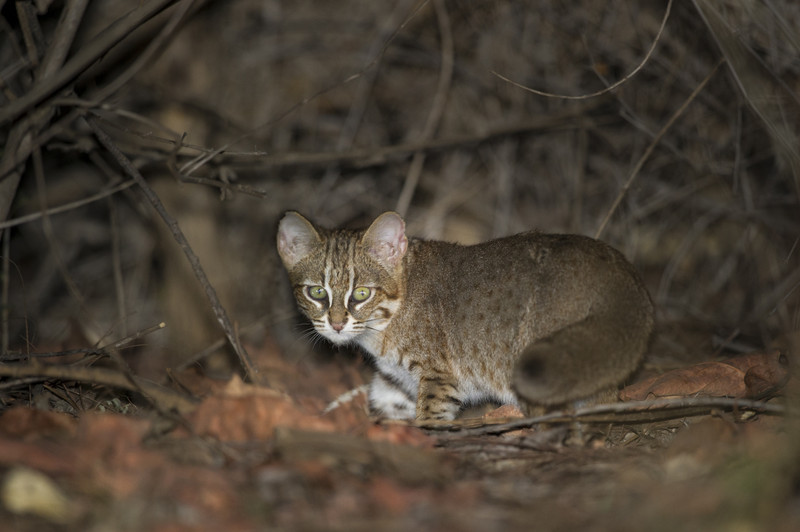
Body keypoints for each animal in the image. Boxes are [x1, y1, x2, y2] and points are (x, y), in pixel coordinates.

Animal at [278, 210, 652, 422]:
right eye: (316, 292)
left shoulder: (440, 376)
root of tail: (621, 266)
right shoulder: (395, 382)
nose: (337, 323)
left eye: (361, 294)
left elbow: (429, 419)